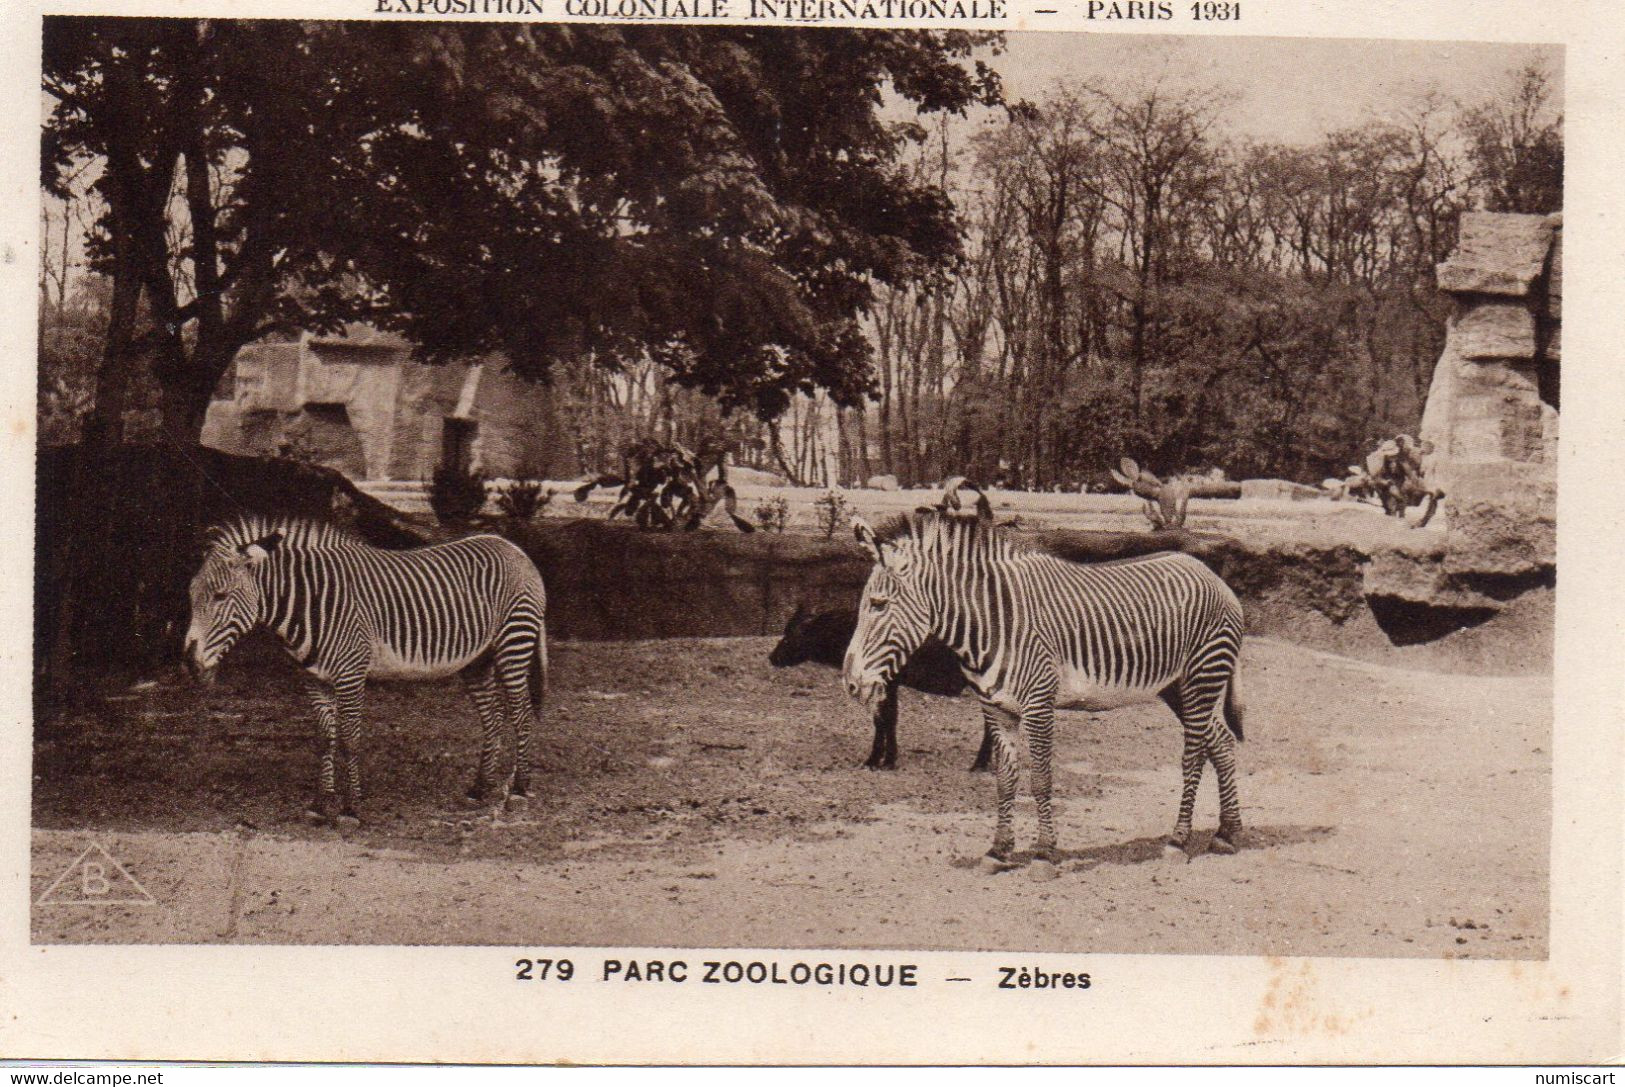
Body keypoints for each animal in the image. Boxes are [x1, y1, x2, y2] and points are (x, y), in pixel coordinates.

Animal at [183, 513, 549, 825]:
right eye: (190, 594)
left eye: (220, 596)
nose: (188, 659)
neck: (309, 604)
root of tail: (512, 546)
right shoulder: (314, 679)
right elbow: (325, 739)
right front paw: (321, 804)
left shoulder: (350, 675)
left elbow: (349, 739)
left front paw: (350, 808)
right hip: (478, 660)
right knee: (493, 717)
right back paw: (480, 789)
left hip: (514, 643)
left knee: (521, 714)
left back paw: (518, 790)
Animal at [838, 477, 1241, 877]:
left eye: (878, 605)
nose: (851, 683)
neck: (992, 621)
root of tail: (1211, 575)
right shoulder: (996, 708)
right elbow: (1005, 780)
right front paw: (998, 851)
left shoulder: (1039, 704)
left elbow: (1041, 778)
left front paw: (1044, 854)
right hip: (1178, 687)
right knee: (1220, 741)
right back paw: (1228, 834)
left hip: (1202, 675)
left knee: (1194, 755)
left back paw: (1178, 841)